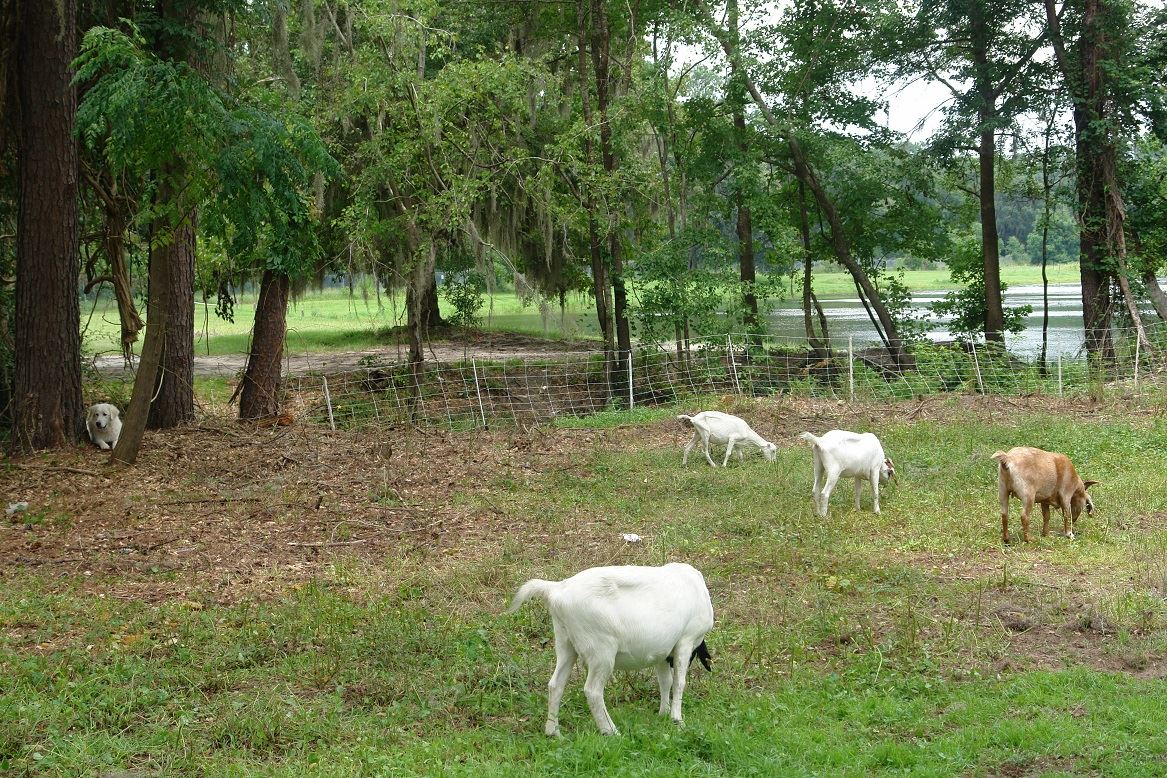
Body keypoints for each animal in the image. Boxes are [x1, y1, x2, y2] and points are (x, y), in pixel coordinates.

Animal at [507, 562, 714, 736]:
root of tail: (556, 590)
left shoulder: (662, 652)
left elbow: (665, 681)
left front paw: (663, 714)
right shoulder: (685, 640)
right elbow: (679, 682)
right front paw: (677, 721)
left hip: (565, 642)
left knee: (555, 685)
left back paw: (553, 733)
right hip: (601, 651)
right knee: (593, 691)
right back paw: (611, 732)